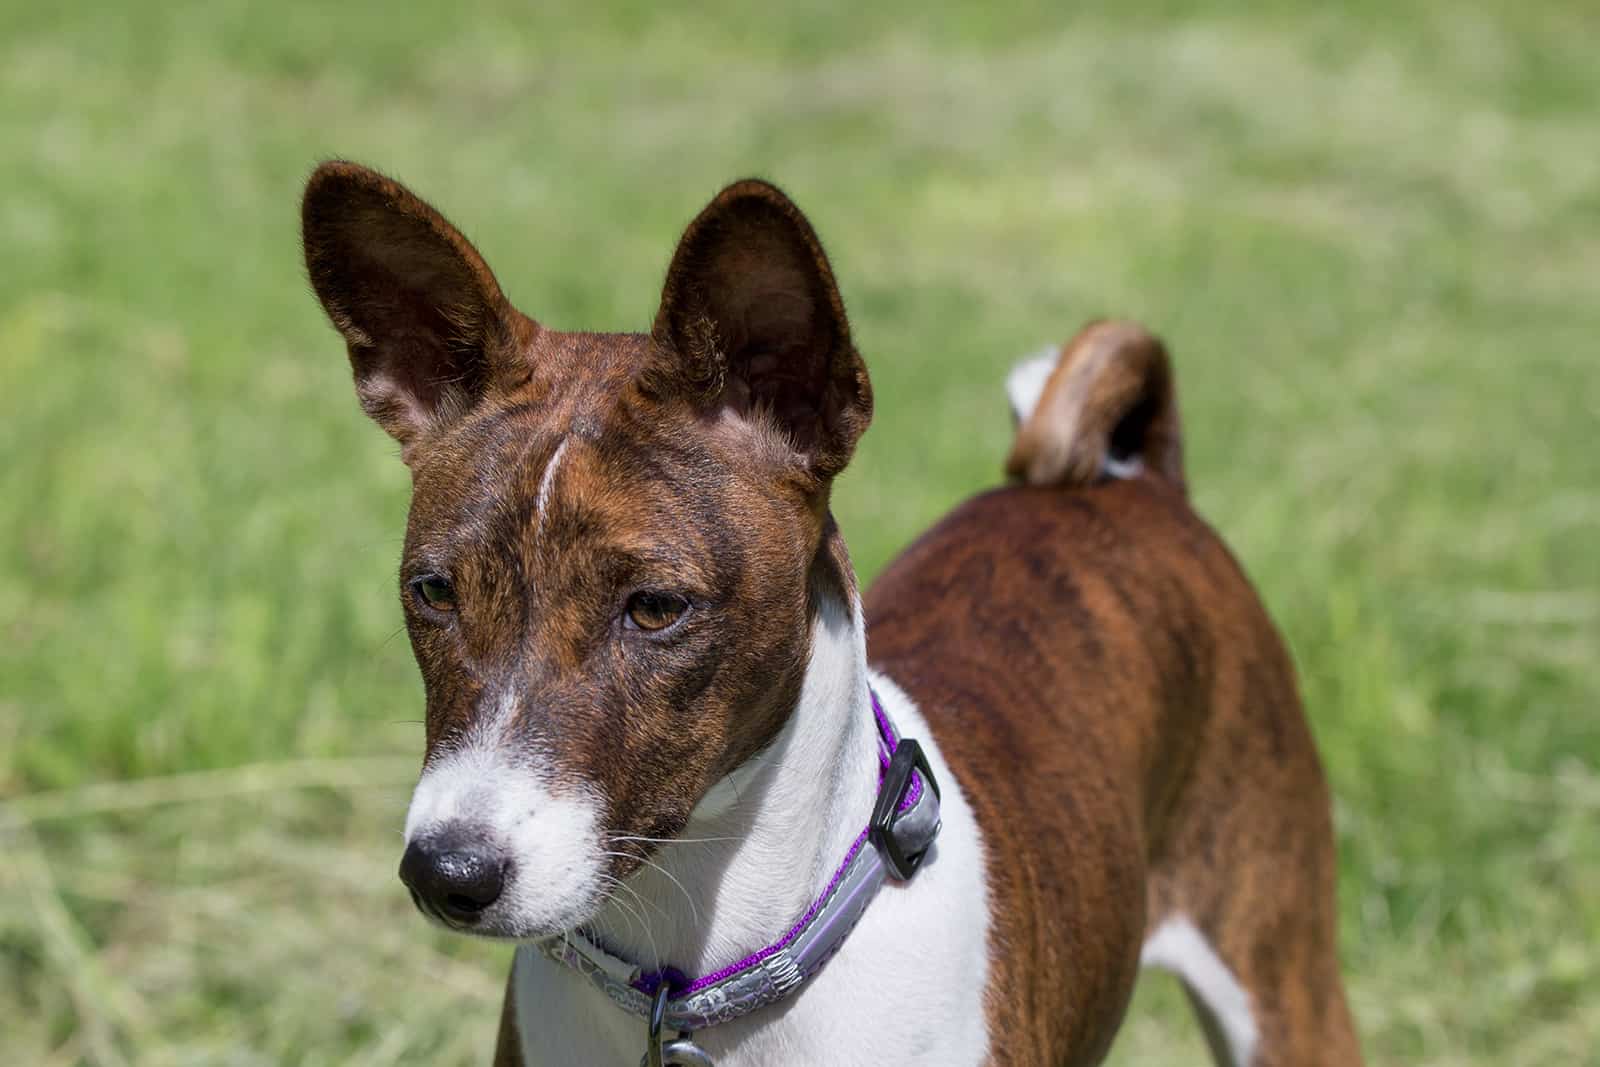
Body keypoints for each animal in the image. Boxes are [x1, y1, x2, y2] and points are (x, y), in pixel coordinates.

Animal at [302, 160, 1363, 1067]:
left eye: (654, 607)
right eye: (433, 591)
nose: (449, 871)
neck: (697, 990)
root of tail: (1132, 480)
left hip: (1286, 983)